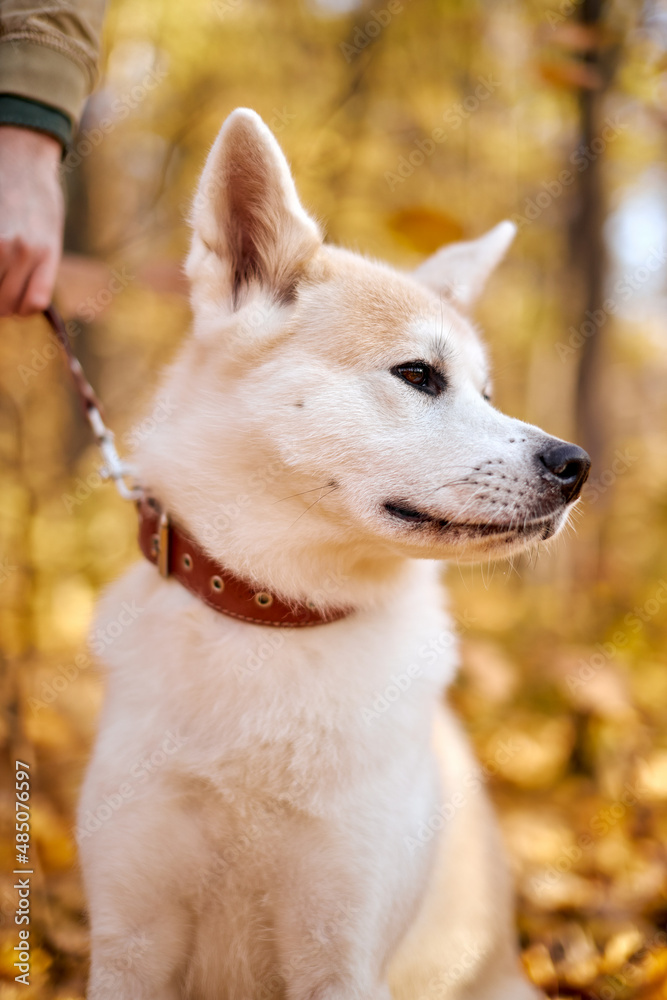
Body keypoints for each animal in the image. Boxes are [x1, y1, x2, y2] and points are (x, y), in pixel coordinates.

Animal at [77, 107, 588, 1000]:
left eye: (487, 393)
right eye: (418, 374)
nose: (575, 466)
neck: (275, 618)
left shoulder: (339, 949)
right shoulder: (129, 941)